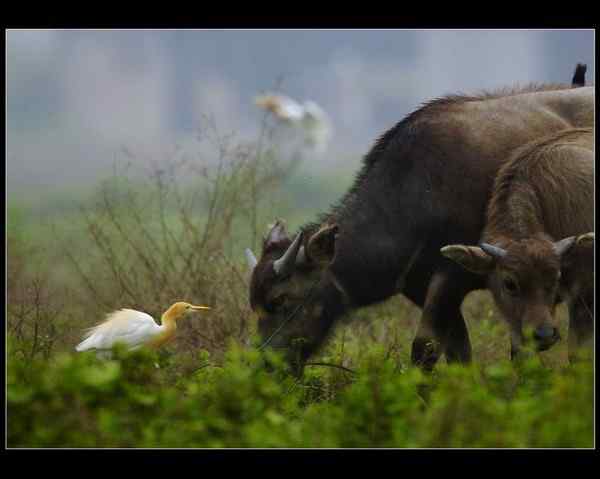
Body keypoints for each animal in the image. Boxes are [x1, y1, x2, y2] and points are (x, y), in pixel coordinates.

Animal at [245, 82, 596, 376]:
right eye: (255, 305)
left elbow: (424, 348)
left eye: (281, 300)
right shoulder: (421, 287)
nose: (265, 364)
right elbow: (458, 353)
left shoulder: (451, 276)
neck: (415, 195)